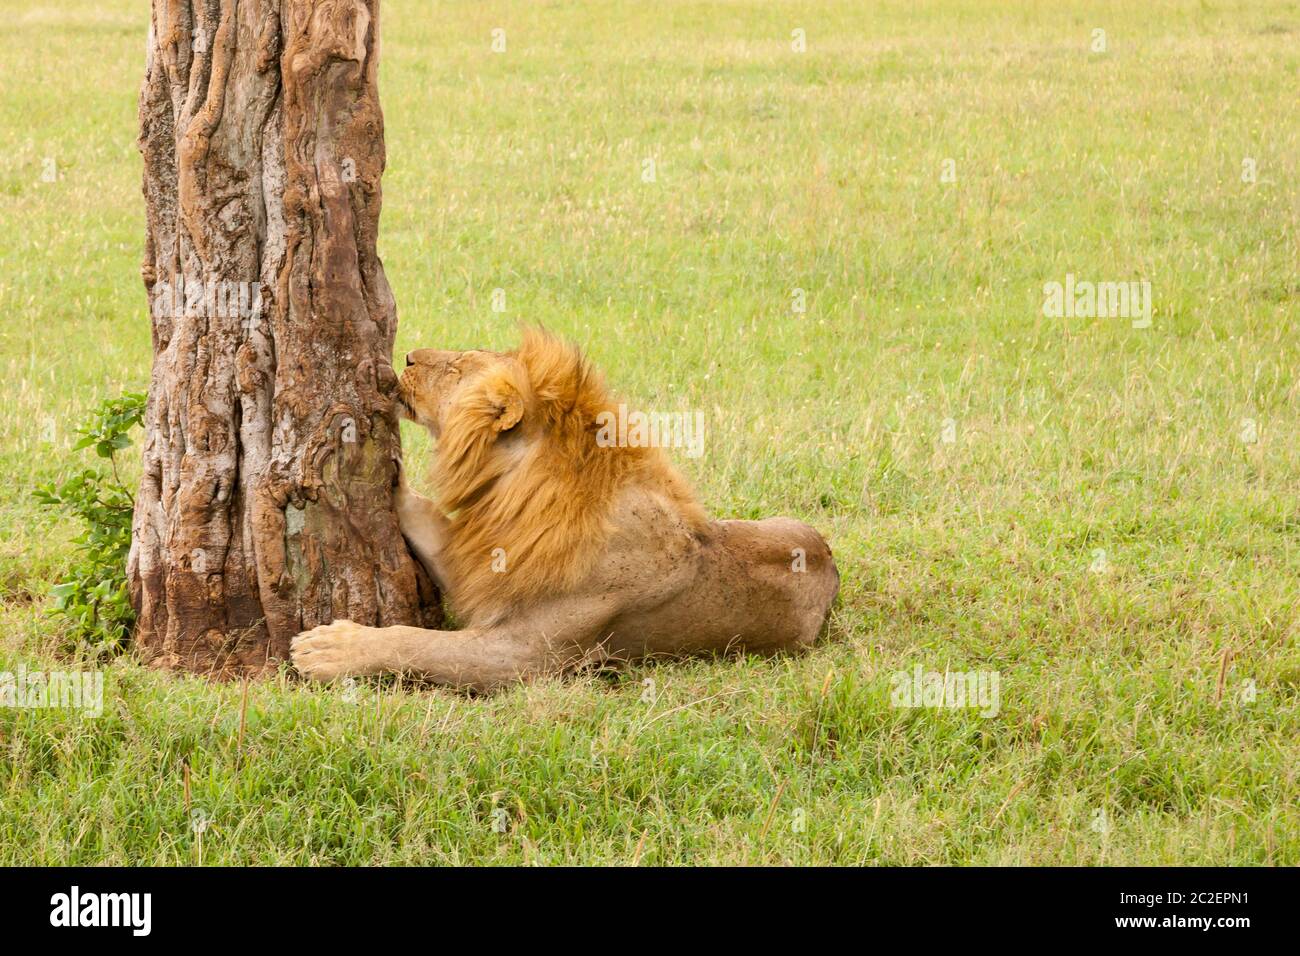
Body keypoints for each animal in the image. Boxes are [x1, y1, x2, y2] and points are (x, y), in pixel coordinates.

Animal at [292, 330, 842, 697]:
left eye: (458, 367)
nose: (405, 356)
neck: (515, 494)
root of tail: (830, 559)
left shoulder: (524, 654)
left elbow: (417, 644)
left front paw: (329, 649)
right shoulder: (483, 564)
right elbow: (423, 519)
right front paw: (389, 473)